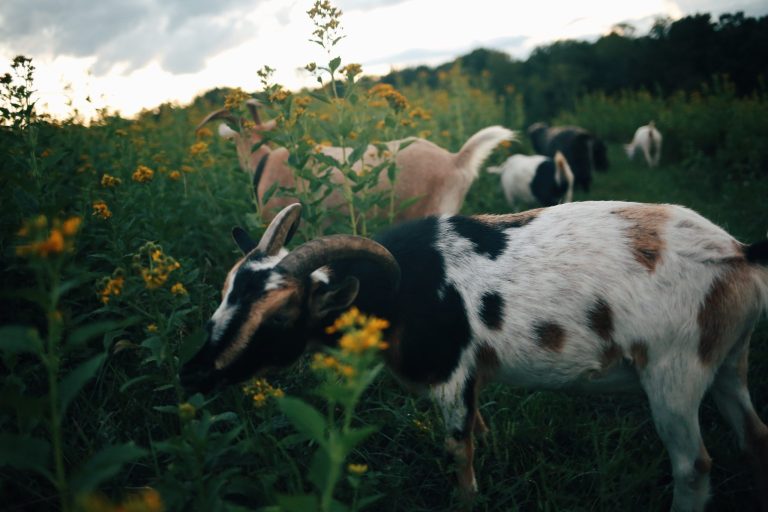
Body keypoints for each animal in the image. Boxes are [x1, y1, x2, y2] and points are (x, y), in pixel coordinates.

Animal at [181, 202, 768, 511]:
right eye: (226, 293)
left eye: (281, 316)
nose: (195, 373)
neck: (402, 292)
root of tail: (738, 253)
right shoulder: (472, 379)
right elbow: (479, 430)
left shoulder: (449, 377)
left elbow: (457, 453)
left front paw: (467, 499)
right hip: (727, 359)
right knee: (754, 434)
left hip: (675, 370)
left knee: (693, 465)